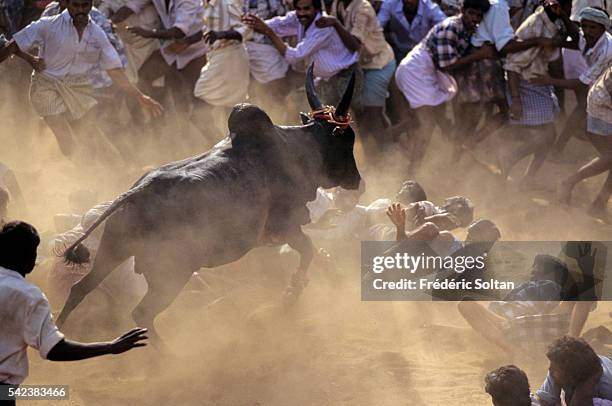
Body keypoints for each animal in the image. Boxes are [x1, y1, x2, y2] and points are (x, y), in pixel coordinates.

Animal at [55, 67, 360, 342]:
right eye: (346, 140)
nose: (357, 181)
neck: (294, 150)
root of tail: (137, 193)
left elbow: (314, 253)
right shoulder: (285, 228)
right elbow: (309, 251)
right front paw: (291, 295)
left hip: (113, 251)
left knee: (81, 288)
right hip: (171, 273)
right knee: (142, 313)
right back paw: (165, 357)